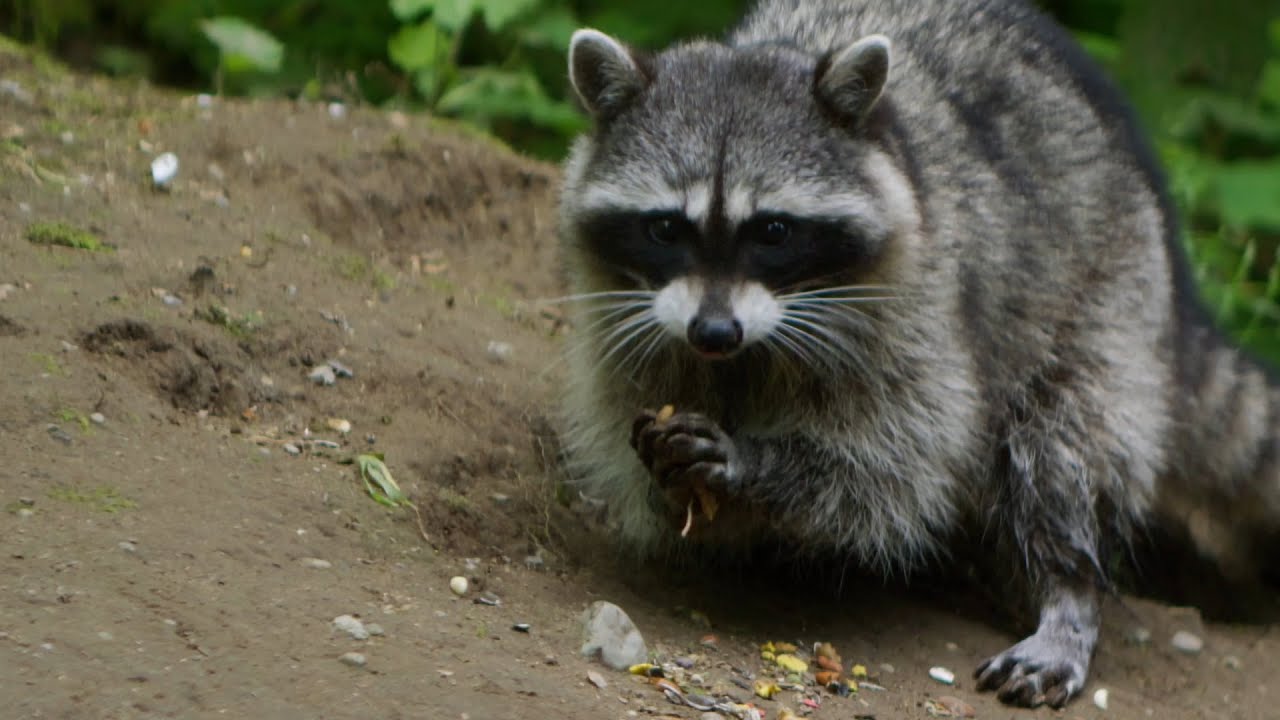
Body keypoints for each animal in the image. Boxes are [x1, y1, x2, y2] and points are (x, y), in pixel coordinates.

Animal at [555, 0, 1280, 707]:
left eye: (774, 231)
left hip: (1105, 295)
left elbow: (892, 465)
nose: (713, 332)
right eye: (665, 228)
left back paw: (1067, 588)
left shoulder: (920, 308)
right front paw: (679, 485)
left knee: (1062, 445)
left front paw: (753, 463)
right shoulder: (631, 320)